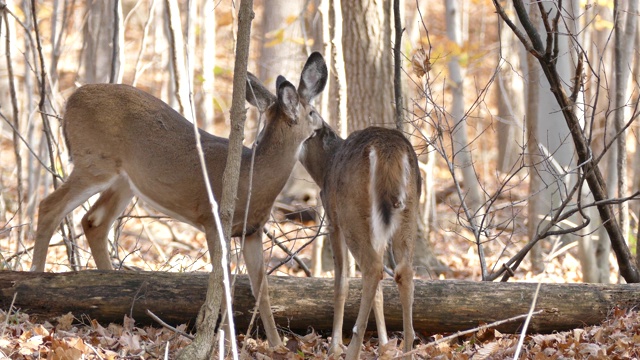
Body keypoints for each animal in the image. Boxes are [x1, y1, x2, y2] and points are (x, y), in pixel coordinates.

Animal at [30, 52, 328, 348]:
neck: (253, 177)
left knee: (93, 221)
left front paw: (277, 345)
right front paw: (226, 342)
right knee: (50, 206)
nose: (323, 126)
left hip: (125, 181)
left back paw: (112, 286)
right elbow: (223, 283)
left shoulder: (252, 231)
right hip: (95, 161)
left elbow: (262, 288)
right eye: (312, 112)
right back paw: (35, 279)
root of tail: (70, 100)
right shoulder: (213, 220)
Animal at [298, 122, 420, 358]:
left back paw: (353, 349)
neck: (325, 166)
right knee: (403, 271)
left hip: (351, 212)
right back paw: (408, 348)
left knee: (372, 268)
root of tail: (388, 151)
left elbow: (341, 283)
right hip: (407, 209)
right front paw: (384, 345)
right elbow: (379, 293)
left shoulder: (333, 219)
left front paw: (334, 348)